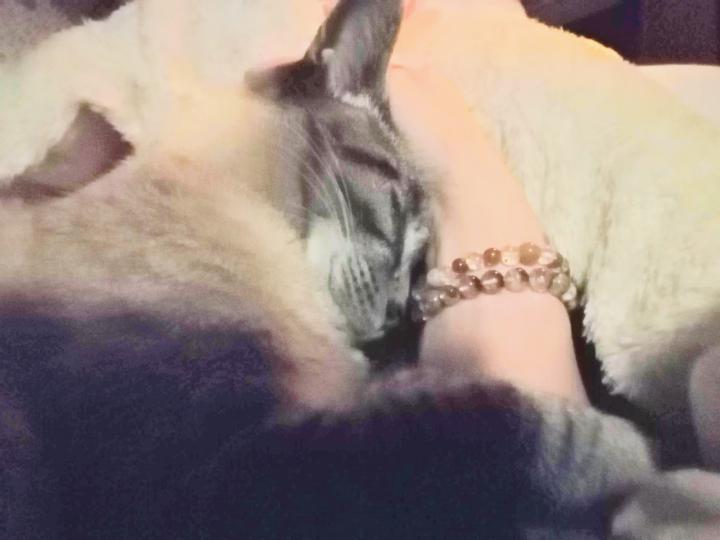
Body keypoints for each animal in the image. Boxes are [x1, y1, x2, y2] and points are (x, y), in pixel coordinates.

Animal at [0, 0, 655, 537]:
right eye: (398, 212)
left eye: (422, 272)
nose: (394, 317)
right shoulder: (219, 466)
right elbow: (494, 421)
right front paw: (641, 459)